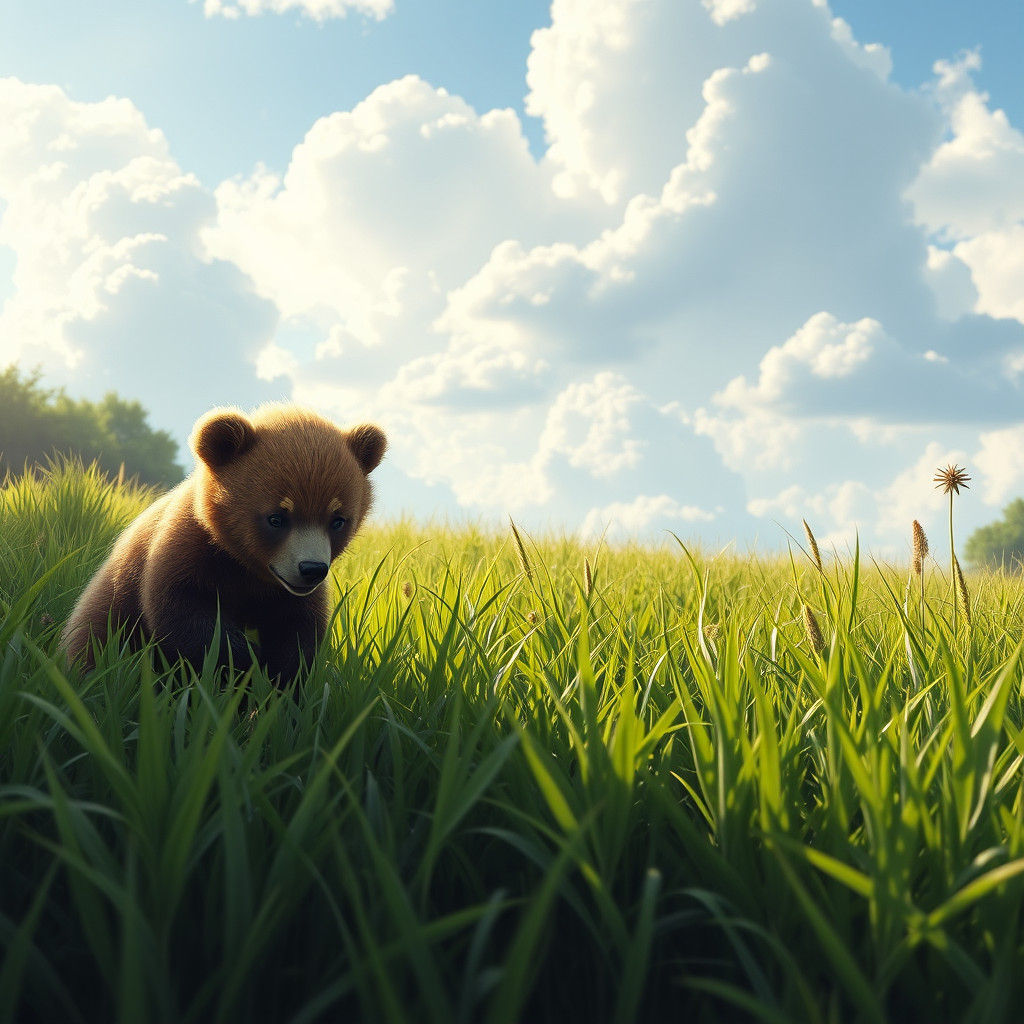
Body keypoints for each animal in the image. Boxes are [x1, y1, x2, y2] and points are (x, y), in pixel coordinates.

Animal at [60, 404, 386, 683]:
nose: (311, 569)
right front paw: (244, 661)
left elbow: (298, 634)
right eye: (276, 517)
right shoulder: (185, 550)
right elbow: (184, 614)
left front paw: (277, 678)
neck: (244, 565)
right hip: (107, 610)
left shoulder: (288, 596)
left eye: (338, 519)